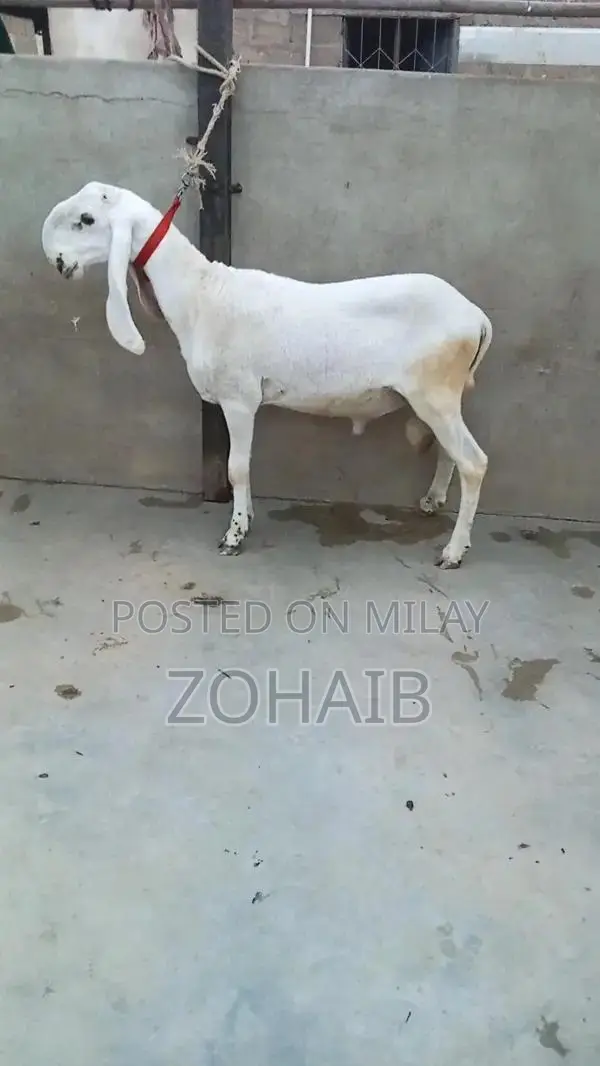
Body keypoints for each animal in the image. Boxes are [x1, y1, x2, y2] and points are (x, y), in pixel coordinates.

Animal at [41, 181, 492, 568]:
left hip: (435, 391)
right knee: (450, 453)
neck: (201, 295)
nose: (58, 262)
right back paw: (432, 501)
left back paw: (454, 552)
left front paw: (234, 535)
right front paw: (247, 519)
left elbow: (236, 468)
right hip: (441, 399)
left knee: (474, 463)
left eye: (86, 219)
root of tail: (477, 317)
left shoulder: (239, 398)